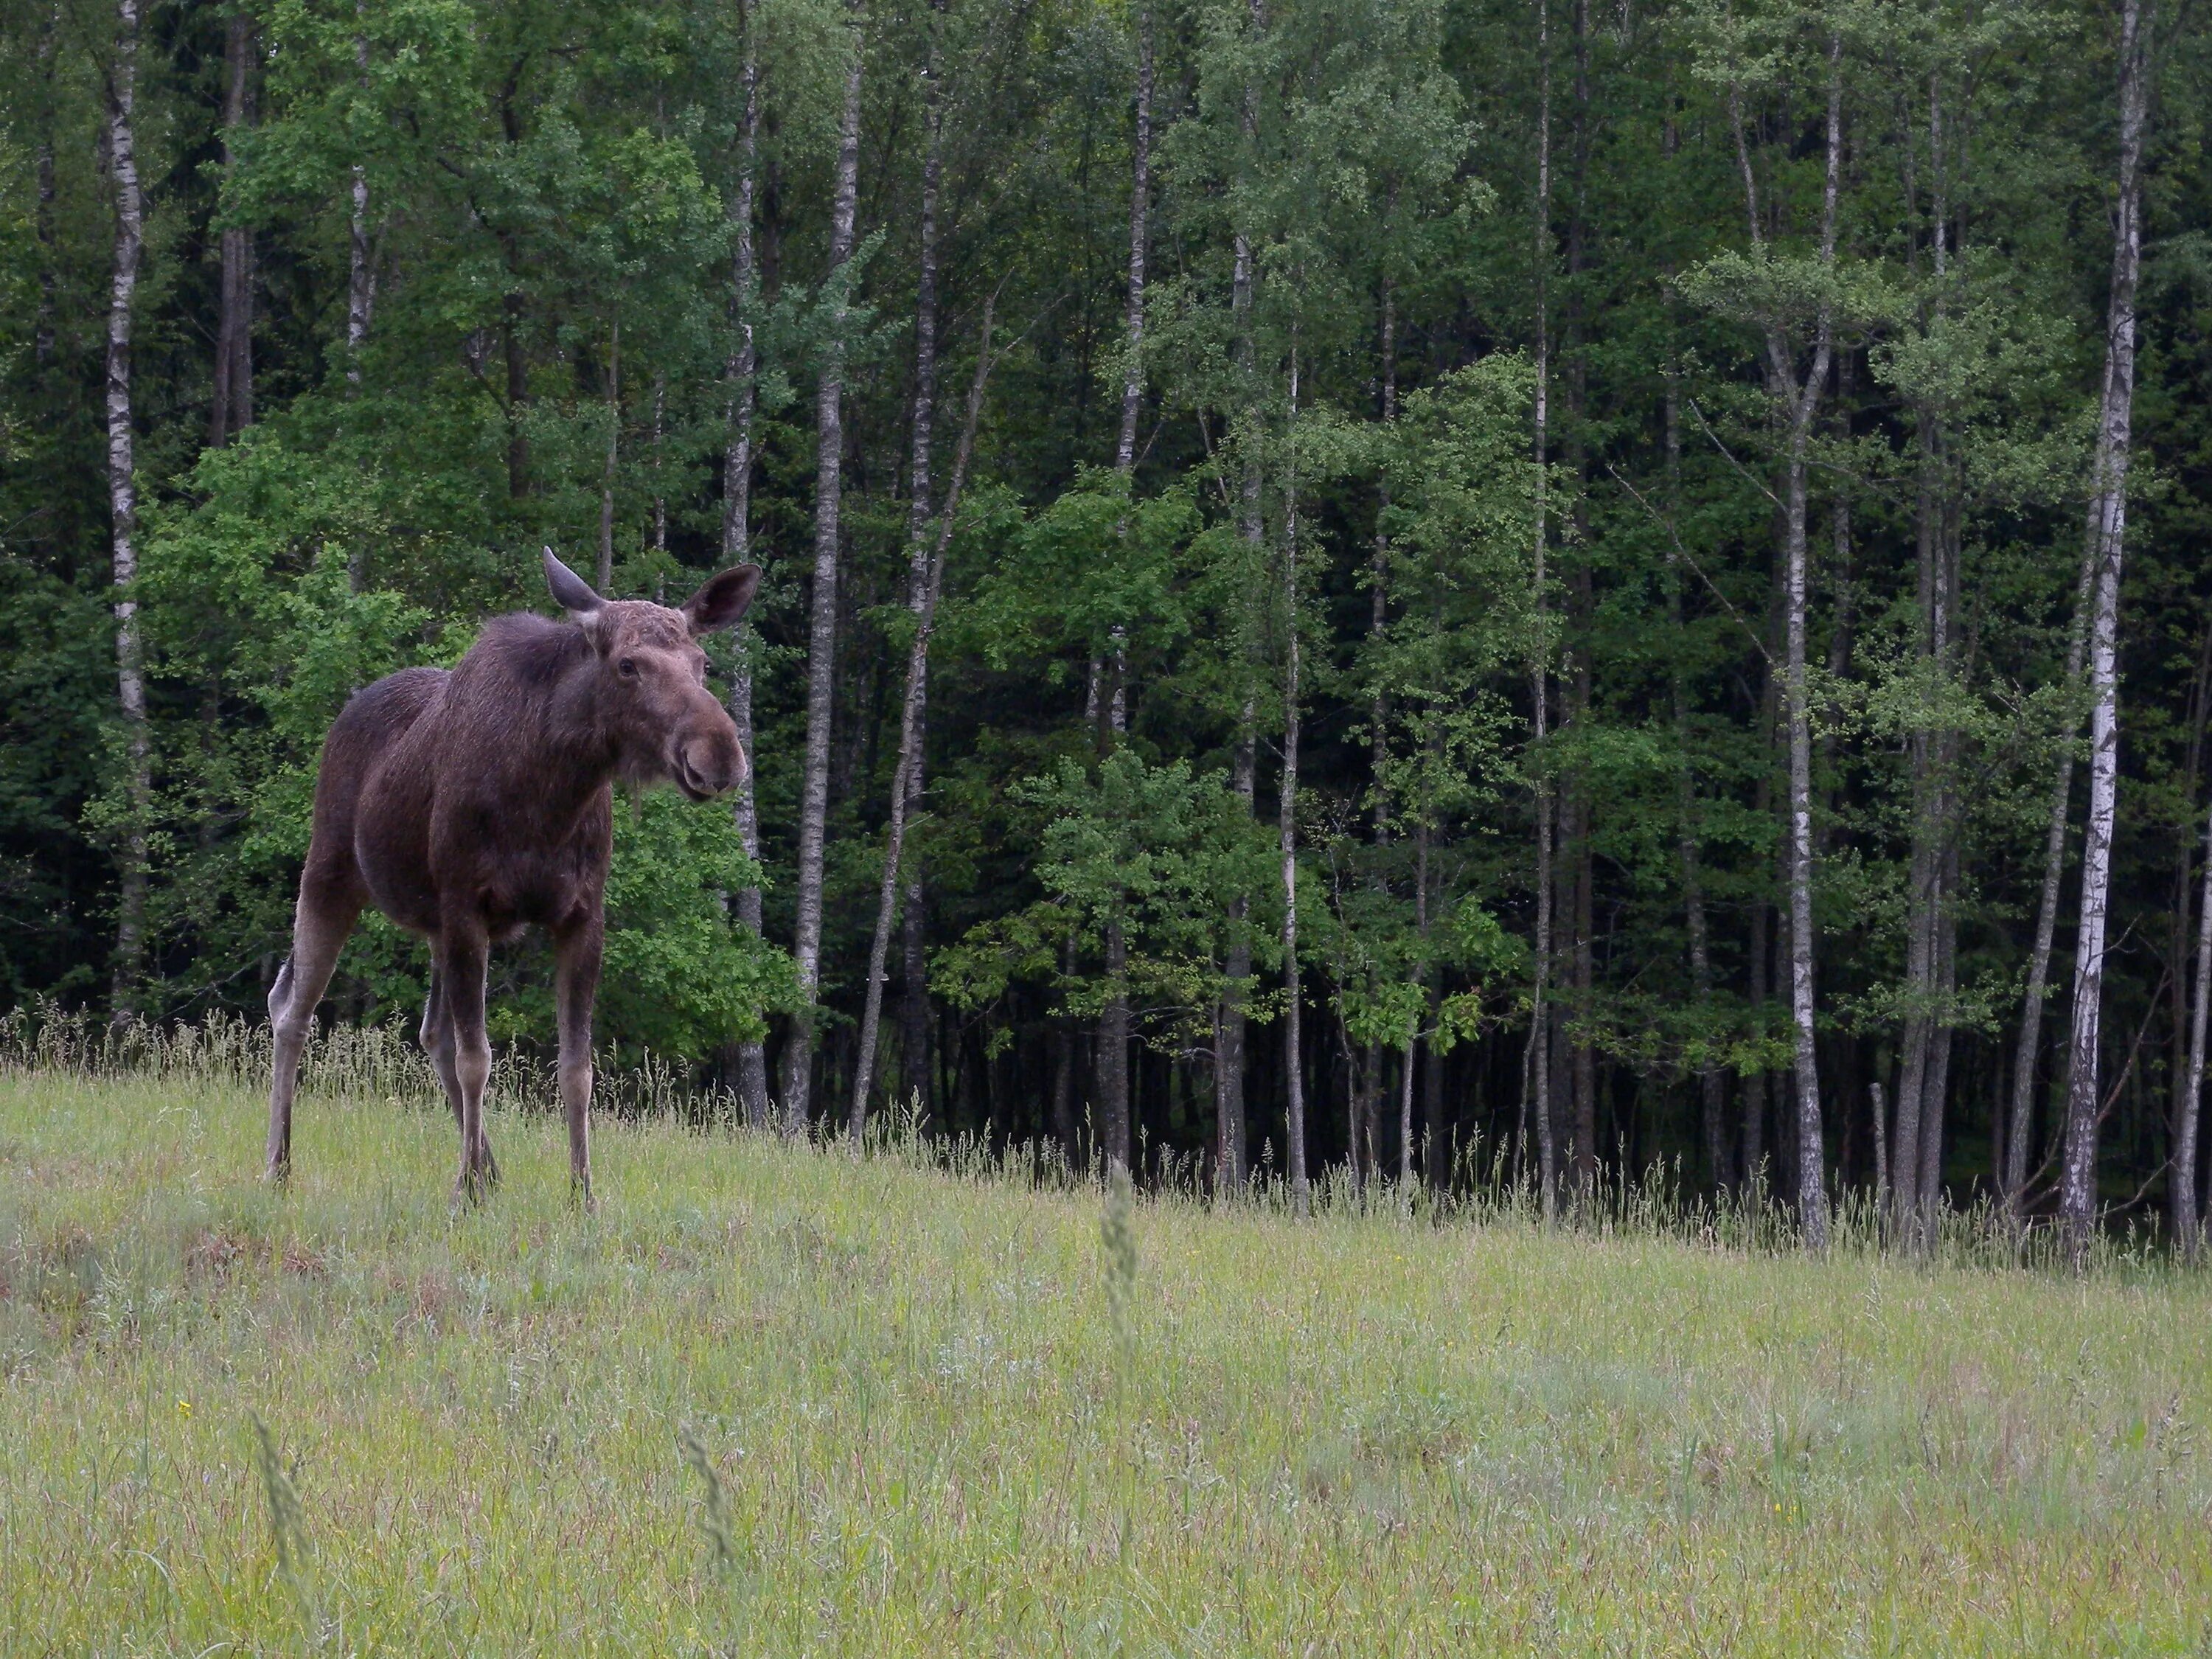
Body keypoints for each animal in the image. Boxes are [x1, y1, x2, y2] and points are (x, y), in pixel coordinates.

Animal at [268, 549, 761, 1212]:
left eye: (703, 663)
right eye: (627, 665)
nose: (720, 755)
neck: (550, 794)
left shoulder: (581, 914)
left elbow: (576, 1069)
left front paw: (581, 1196)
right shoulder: (466, 907)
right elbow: (479, 1058)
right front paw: (463, 1194)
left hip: (429, 924)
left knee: (430, 1033)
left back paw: (488, 1170)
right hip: (331, 872)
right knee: (293, 1008)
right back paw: (280, 1167)